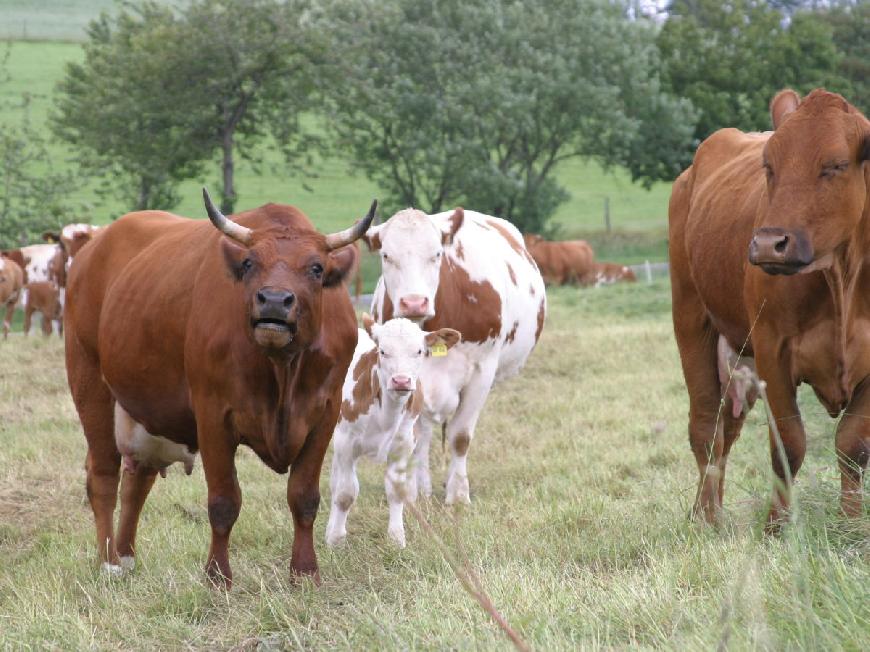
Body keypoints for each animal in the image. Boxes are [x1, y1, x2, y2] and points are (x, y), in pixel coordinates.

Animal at [61, 188, 374, 584]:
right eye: (249, 263)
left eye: (316, 267)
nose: (274, 300)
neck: (282, 371)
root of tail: (93, 247)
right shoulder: (212, 414)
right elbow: (224, 501)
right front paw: (217, 576)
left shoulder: (324, 415)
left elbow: (304, 497)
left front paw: (304, 573)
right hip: (89, 381)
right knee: (103, 474)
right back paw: (109, 562)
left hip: (146, 408)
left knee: (137, 480)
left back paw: (127, 554)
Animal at [328, 314, 464, 548]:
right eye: (383, 351)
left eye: (419, 351)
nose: (401, 381)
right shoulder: (346, 441)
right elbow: (345, 492)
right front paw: (336, 540)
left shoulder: (403, 445)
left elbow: (397, 492)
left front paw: (396, 538)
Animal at [366, 208, 544, 504]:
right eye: (386, 255)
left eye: (437, 254)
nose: (414, 302)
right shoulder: (407, 377)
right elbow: (413, 438)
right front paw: (412, 493)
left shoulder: (483, 371)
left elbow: (460, 436)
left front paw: (458, 494)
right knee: (425, 434)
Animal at [672, 89, 868, 528]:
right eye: (769, 166)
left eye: (835, 165)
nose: (767, 244)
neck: (841, 281)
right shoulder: (772, 350)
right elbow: (788, 445)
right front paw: (776, 527)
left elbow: (853, 445)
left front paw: (850, 522)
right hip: (691, 319)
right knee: (706, 429)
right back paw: (706, 518)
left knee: (727, 430)